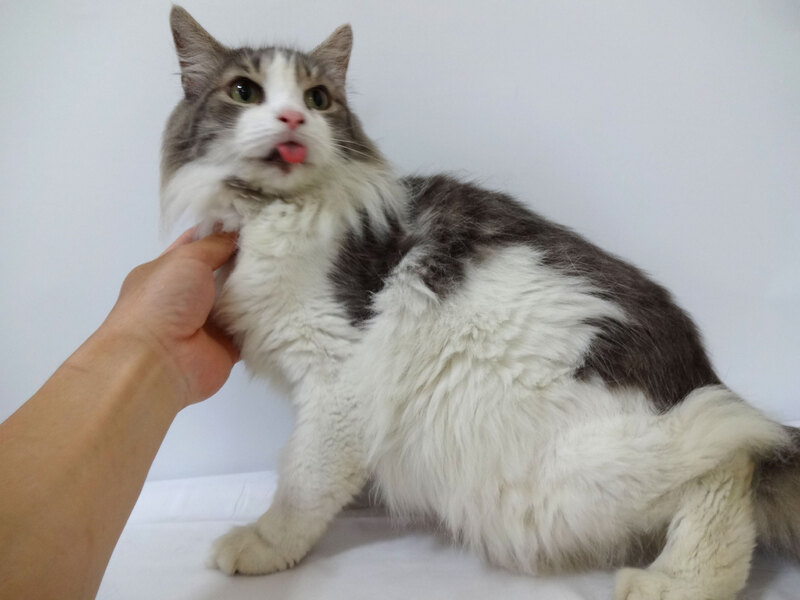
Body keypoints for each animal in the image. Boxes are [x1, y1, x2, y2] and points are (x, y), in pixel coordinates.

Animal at [161, 7, 800, 599]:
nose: (293, 117)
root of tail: (696, 371)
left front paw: (266, 543)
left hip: (569, 475)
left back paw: (677, 581)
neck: (272, 211)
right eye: (244, 91)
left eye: (317, 99)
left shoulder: (338, 378)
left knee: (735, 457)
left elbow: (304, 479)